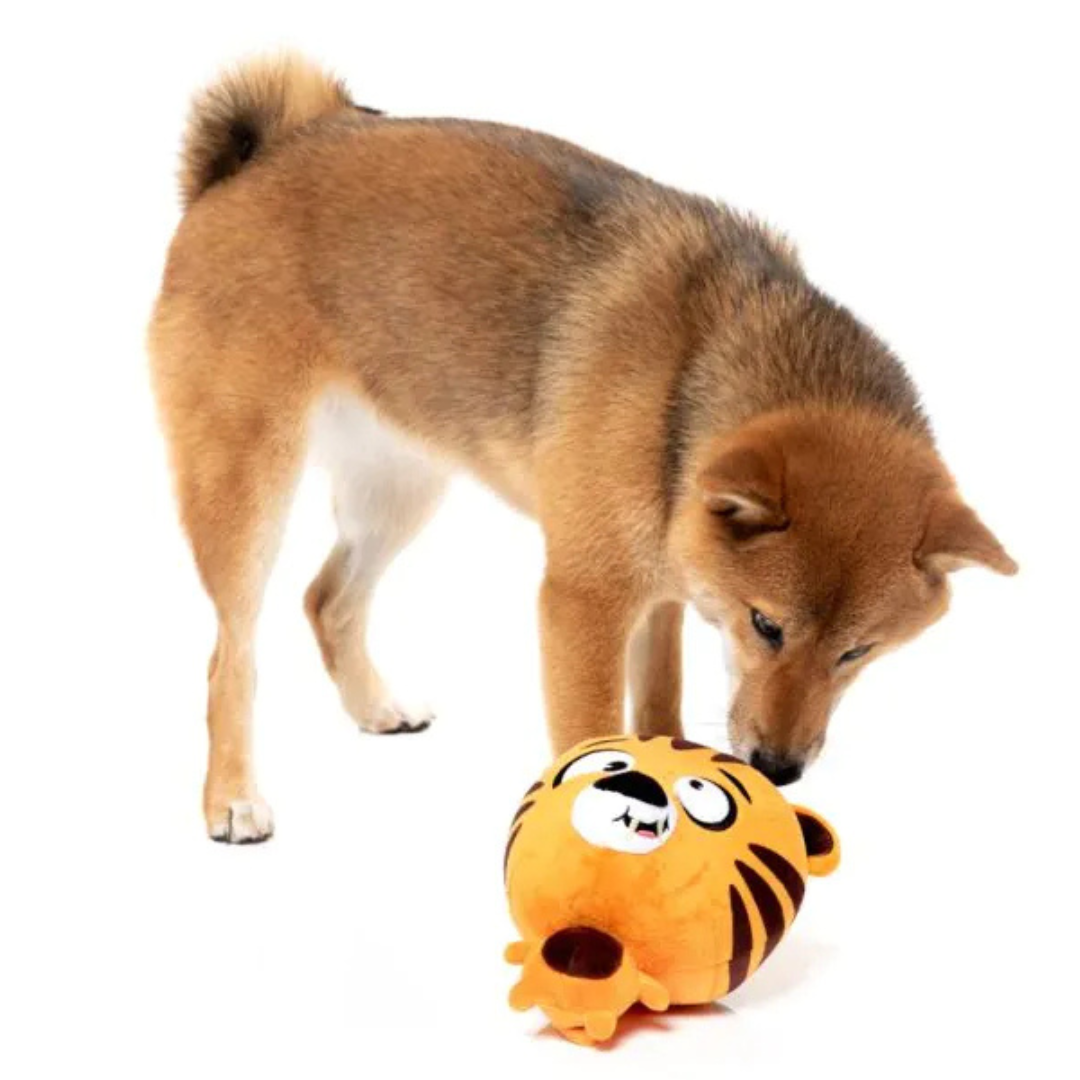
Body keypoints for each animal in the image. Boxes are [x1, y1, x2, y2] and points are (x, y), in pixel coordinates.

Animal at [148, 55, 1016, 842]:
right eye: (767, 626)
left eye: (857, 651)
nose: (780, 768)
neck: (691, 372)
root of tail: (255, 160)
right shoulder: (585, 601)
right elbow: (591, 732)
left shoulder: (664, 586)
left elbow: (660, 703)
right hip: (246, 490)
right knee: (231, 656)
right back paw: (233, 798)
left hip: (398, 489)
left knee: (328, 600)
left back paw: (377, 706)